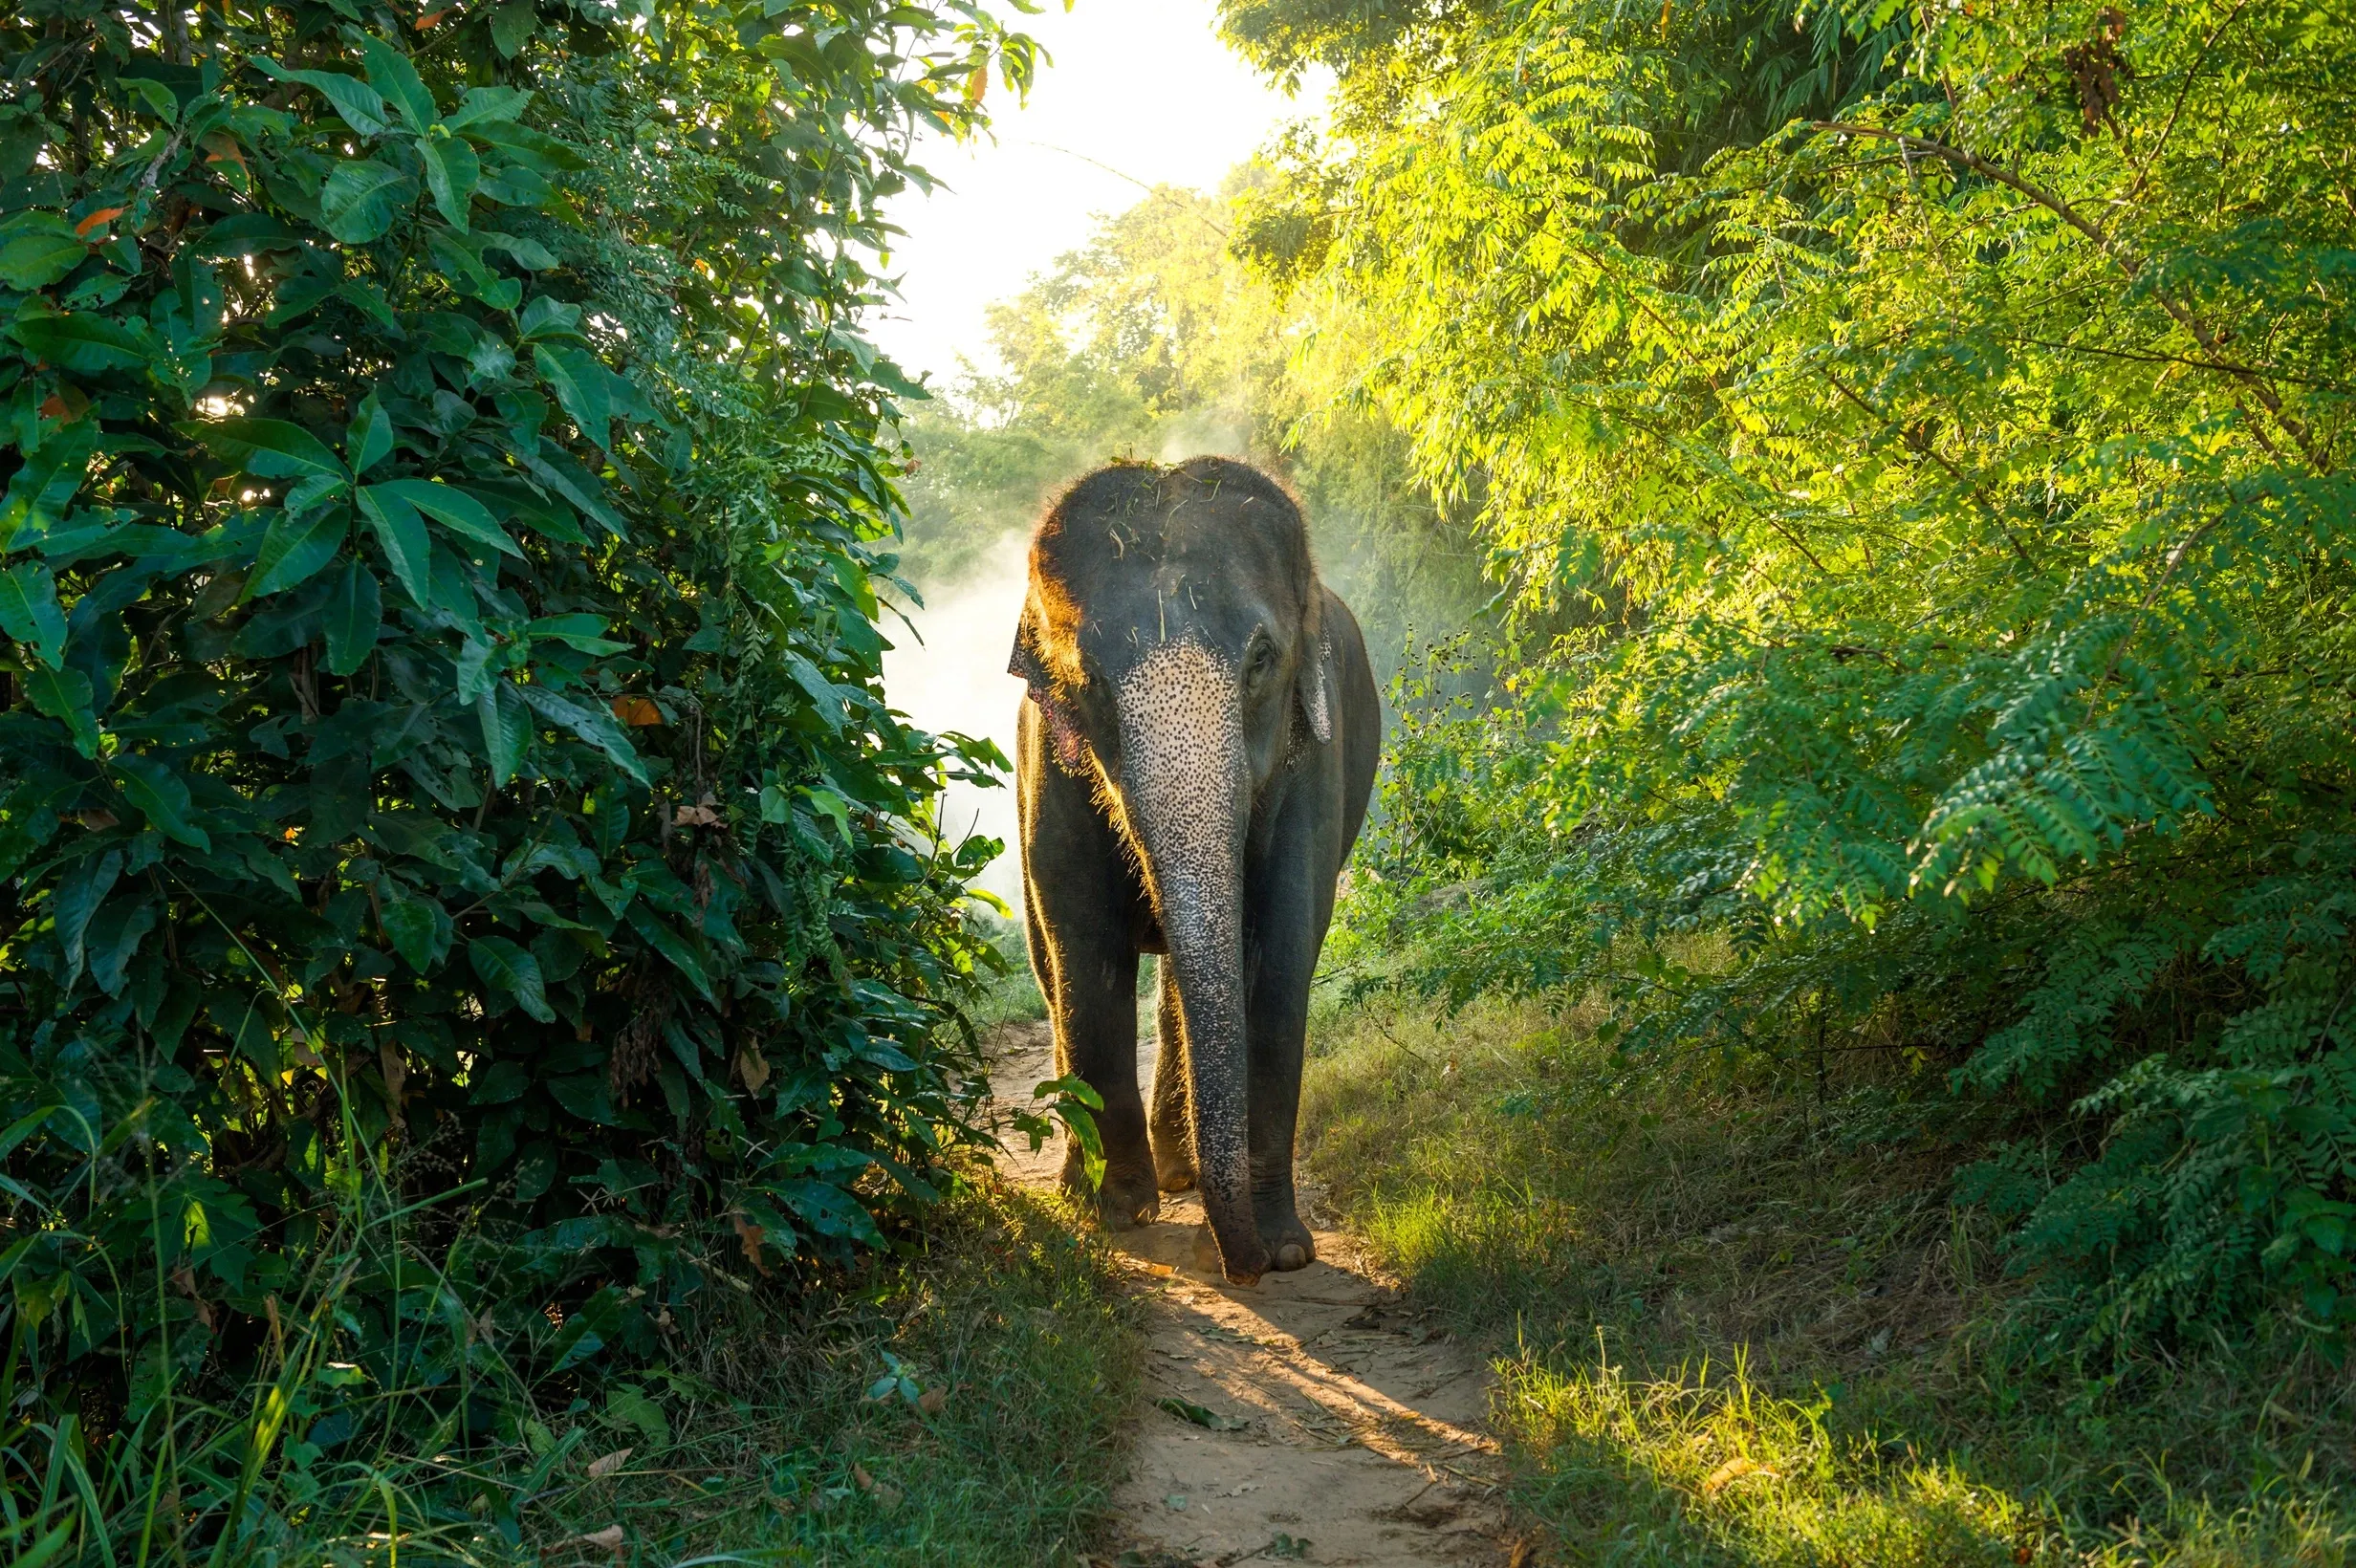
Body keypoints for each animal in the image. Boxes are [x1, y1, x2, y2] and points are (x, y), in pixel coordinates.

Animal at [1009, 457, 1380, 1285]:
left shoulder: (1314, 752)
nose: (1243, 1268)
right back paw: (1098, 1186)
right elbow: (1084, 948)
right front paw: (1118, 1216)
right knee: (1052, 967)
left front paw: (1286, 1249)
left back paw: (1183, 1174)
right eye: (1090, 681)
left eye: (1261, 659)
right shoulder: (1052, 761)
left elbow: (1282, 950)